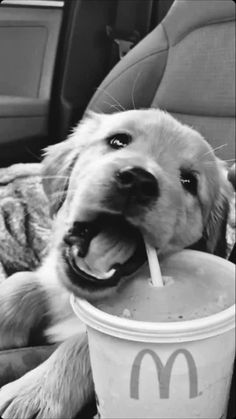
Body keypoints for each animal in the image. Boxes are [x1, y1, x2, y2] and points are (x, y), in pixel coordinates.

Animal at [0, 110, 232, 418]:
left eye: (189, 182)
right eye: (118, 141)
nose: (138, 180)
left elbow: (81, 341)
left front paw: (34, 393)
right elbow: (22, 282)